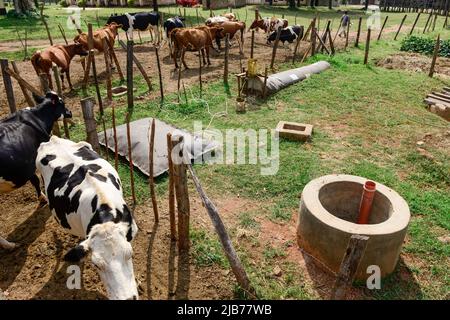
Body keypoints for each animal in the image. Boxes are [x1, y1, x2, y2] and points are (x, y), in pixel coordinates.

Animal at [0, 92, 71, 250]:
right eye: (62, 103)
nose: (69, 112)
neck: (38, 116)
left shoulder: (27, 163)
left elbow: (34, 180)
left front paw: (42, 198)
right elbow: (40, 178)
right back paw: (9, 245)